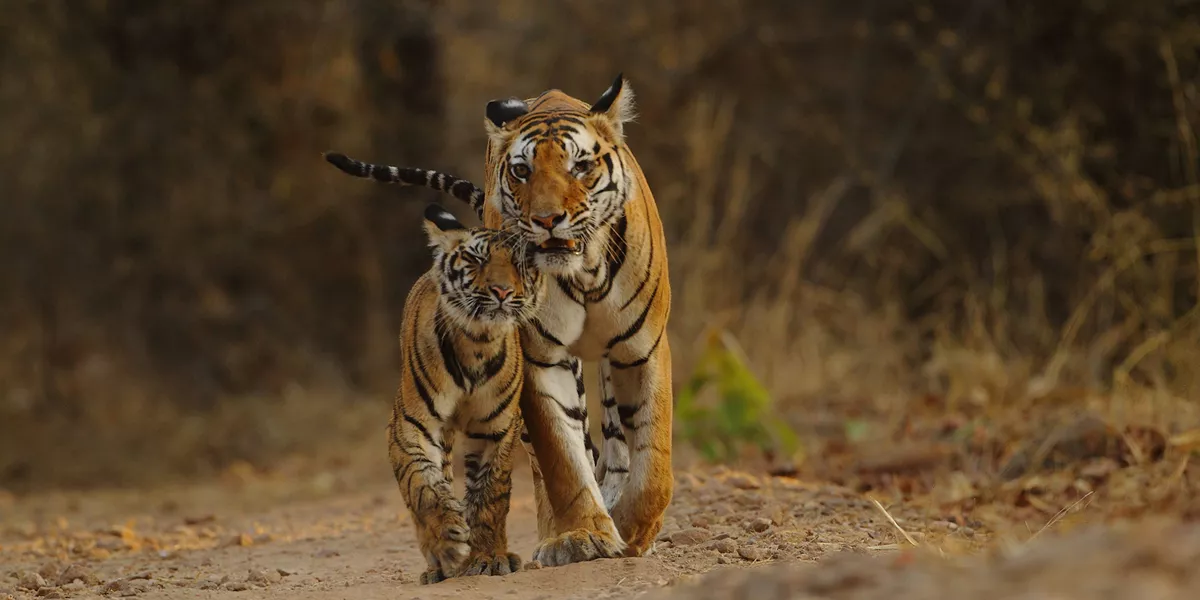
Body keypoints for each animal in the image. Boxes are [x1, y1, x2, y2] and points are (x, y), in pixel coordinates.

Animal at [387, 203, 542, 584]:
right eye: (476, 259)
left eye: (519, 264)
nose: (501, 291)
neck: (478, 343)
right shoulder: (410, 424)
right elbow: (423, 485)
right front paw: (448, 539)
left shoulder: (495, 428)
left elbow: (490, 495)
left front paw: (487, 558)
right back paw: (438, 565)